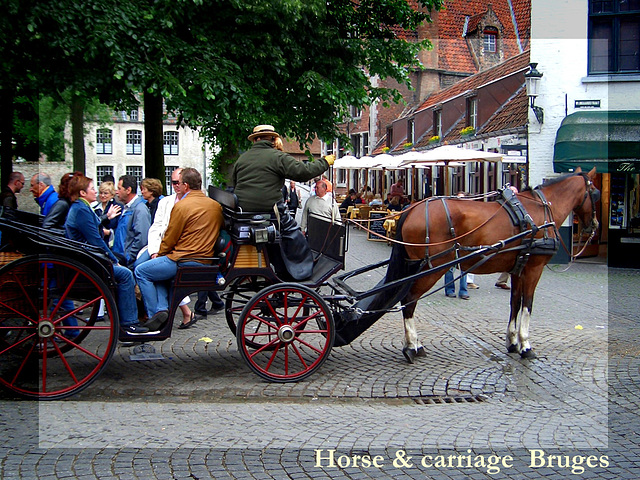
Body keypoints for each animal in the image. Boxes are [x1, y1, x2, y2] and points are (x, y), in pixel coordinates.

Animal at [388, 167, 604, 362]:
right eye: (595, 193)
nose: (594, 225)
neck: (540, 210)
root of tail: (411, 210)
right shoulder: (534, 269)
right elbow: (528, 304)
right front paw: (526, 346)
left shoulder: (518, 269)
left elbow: (515, 302)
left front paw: (513, 342)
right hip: (432, 268)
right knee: (409, 300)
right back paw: (412, 346)